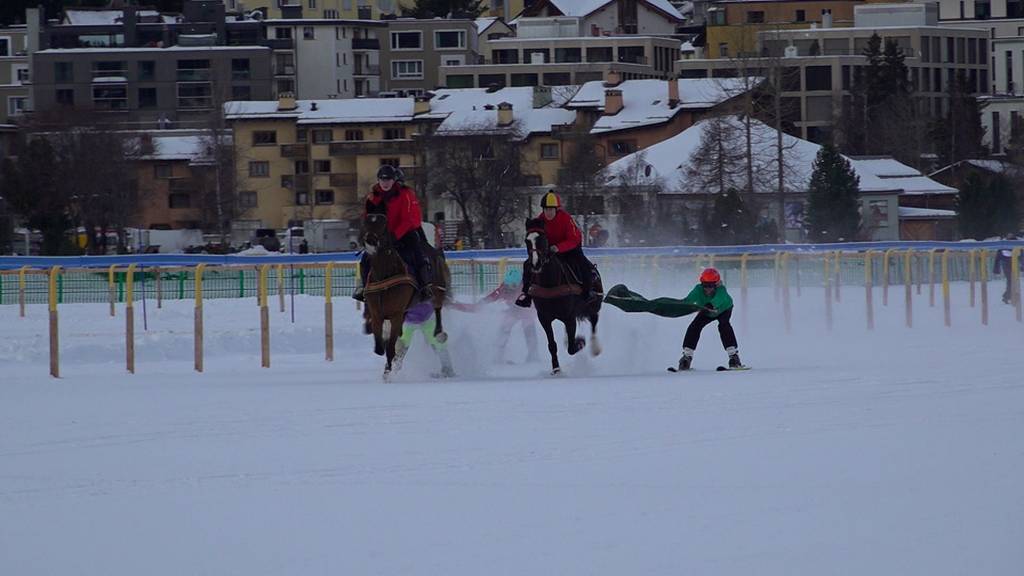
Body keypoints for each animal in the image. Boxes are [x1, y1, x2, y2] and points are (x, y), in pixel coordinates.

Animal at [364, 213, 452, 379]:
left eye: (383, 225)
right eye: (365, 223)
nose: (370, 241)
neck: (385, 276)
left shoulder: (397, 313)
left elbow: (391, 347)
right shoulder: (377, 312)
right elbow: (381, 344)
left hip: (438, 290)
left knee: (437, 311)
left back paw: (439, 335)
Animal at [524, 215, 602, 373]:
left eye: (543, 239)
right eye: (526, 240)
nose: (535, 264)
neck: (551, 282)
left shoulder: (569, 317)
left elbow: (572, 347)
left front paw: (581, 342)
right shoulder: (544, 318)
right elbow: (552, 344)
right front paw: (556, 369)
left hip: (593, 305)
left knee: (594, 321)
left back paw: (595, 347)